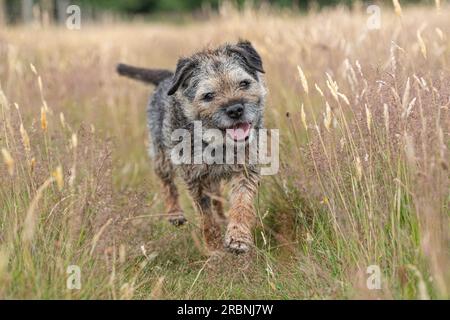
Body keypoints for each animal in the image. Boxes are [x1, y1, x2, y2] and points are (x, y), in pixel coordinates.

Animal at [116, 40, 268, 255]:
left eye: (244, 83)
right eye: (208, 95)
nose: (235, 109)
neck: (217, 141)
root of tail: (167, 77)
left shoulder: (246, 169)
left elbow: (242, 202)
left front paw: (238, 237)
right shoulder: (196, 179)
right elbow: (206, 218)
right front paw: (214, 250)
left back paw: (222, 217)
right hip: (161, 154)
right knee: (166, 182)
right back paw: (175, 213)